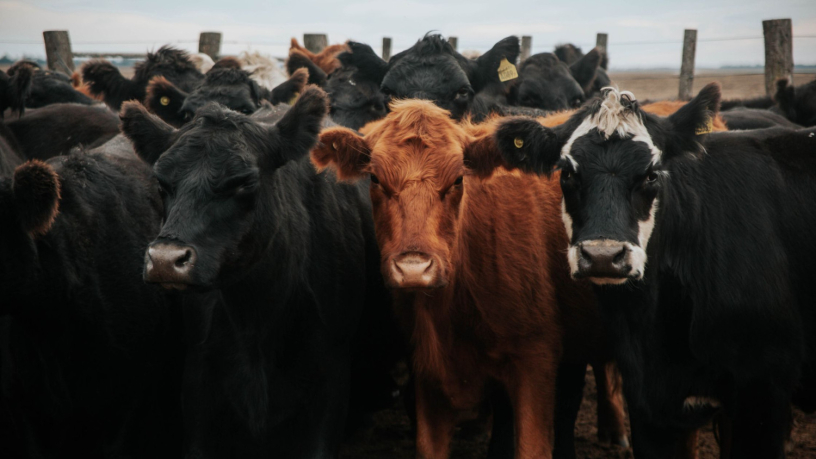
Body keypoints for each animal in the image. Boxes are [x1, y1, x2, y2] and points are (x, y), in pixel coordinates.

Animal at [119, 86, 395, 457]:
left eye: (244, 182)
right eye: (161, 182)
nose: (165, 259)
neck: (257, 319)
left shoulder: (330, 379)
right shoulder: (198, 383)